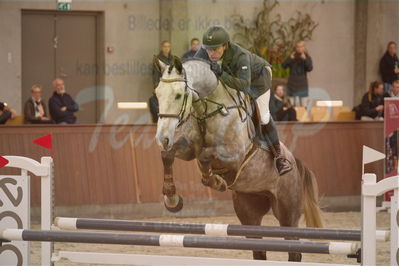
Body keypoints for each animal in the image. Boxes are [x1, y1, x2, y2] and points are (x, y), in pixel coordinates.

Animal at [154, 56, 324, 262]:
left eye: (178, 95)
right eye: (157, 94)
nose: (162, 138)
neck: (210, 108)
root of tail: (296, 164)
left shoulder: (234, 155)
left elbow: (205, 157)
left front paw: (217, 182)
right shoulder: (188, 149)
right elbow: (168, 155)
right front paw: (171, 198)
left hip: (287, 213)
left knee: (294, 250)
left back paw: (281, 164)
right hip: (249, 211)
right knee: (258, 249)